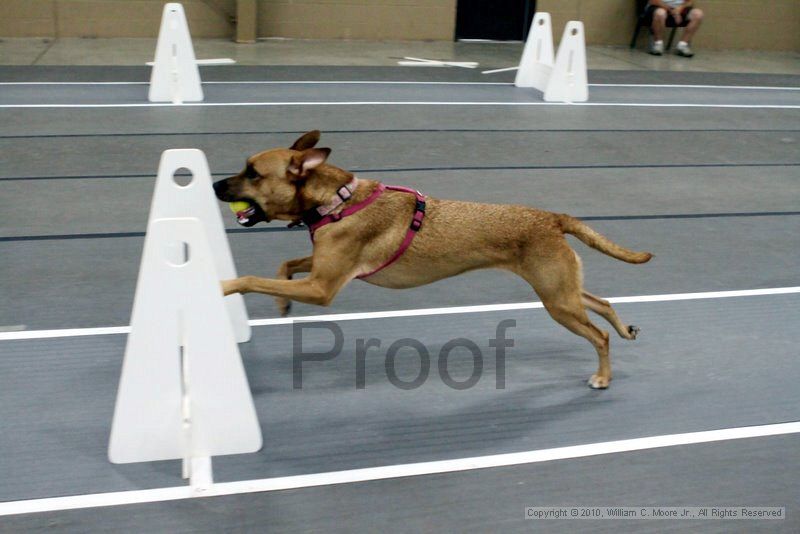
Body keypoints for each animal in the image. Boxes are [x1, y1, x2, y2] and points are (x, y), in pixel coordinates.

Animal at [212, 130, 648, 390]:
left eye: (252, 173)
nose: (215, 185)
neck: (335, 201)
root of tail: (552, 217)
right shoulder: (319, 271)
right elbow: (284, 266)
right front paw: (282, 302)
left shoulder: (322, 287)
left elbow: (251, 278)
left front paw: (225, 285)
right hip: (561, 289)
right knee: (603, 304)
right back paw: (625, 329)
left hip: (557, 299)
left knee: (599, 335)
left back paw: (603, 376)